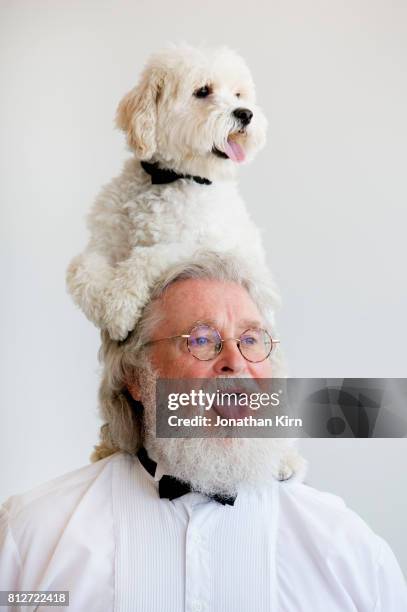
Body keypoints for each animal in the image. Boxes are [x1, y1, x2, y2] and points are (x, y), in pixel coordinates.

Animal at [67, 43, 274, 340]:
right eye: (203, 91)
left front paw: (119, 307)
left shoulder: (196, 248)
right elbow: (79, 268)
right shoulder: (103, 245)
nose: (245, 113)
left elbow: (146, 256)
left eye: (237, 94)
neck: (169, 178)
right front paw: (102, 305)